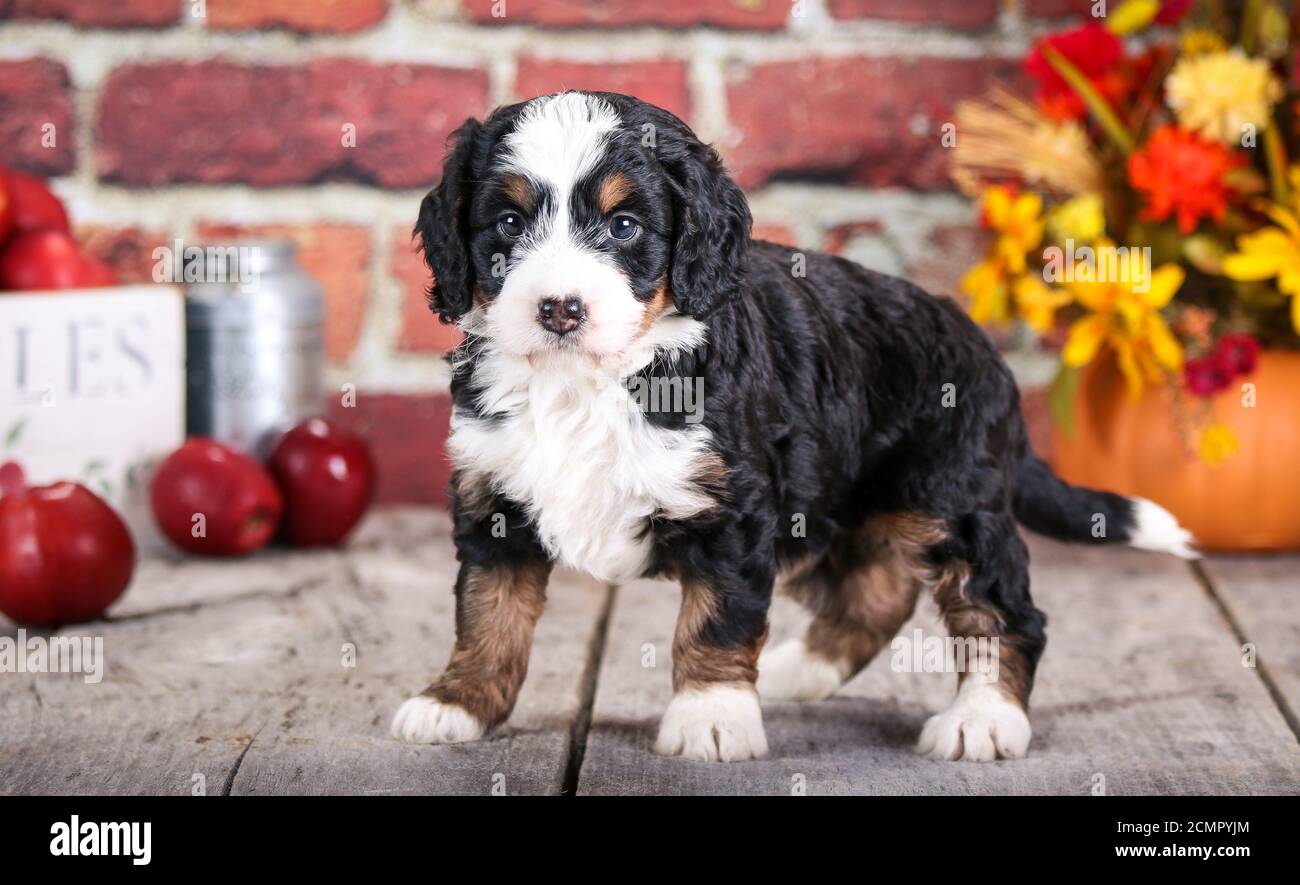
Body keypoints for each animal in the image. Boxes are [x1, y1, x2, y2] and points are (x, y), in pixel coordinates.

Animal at [387, 92, 1196, 764]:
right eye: (508, 223)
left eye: (624, 226)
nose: (559, 309)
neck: (588, 382)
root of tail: (983, 350)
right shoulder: (493, 501)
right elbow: (487, 615)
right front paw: (456, 704)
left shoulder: (734, 508)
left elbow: (715, 619)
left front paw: (712, 716)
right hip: (829, 503)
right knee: (875, 592)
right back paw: (797, 670)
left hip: (949, 497)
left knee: (1003, 607)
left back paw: (983, 720)